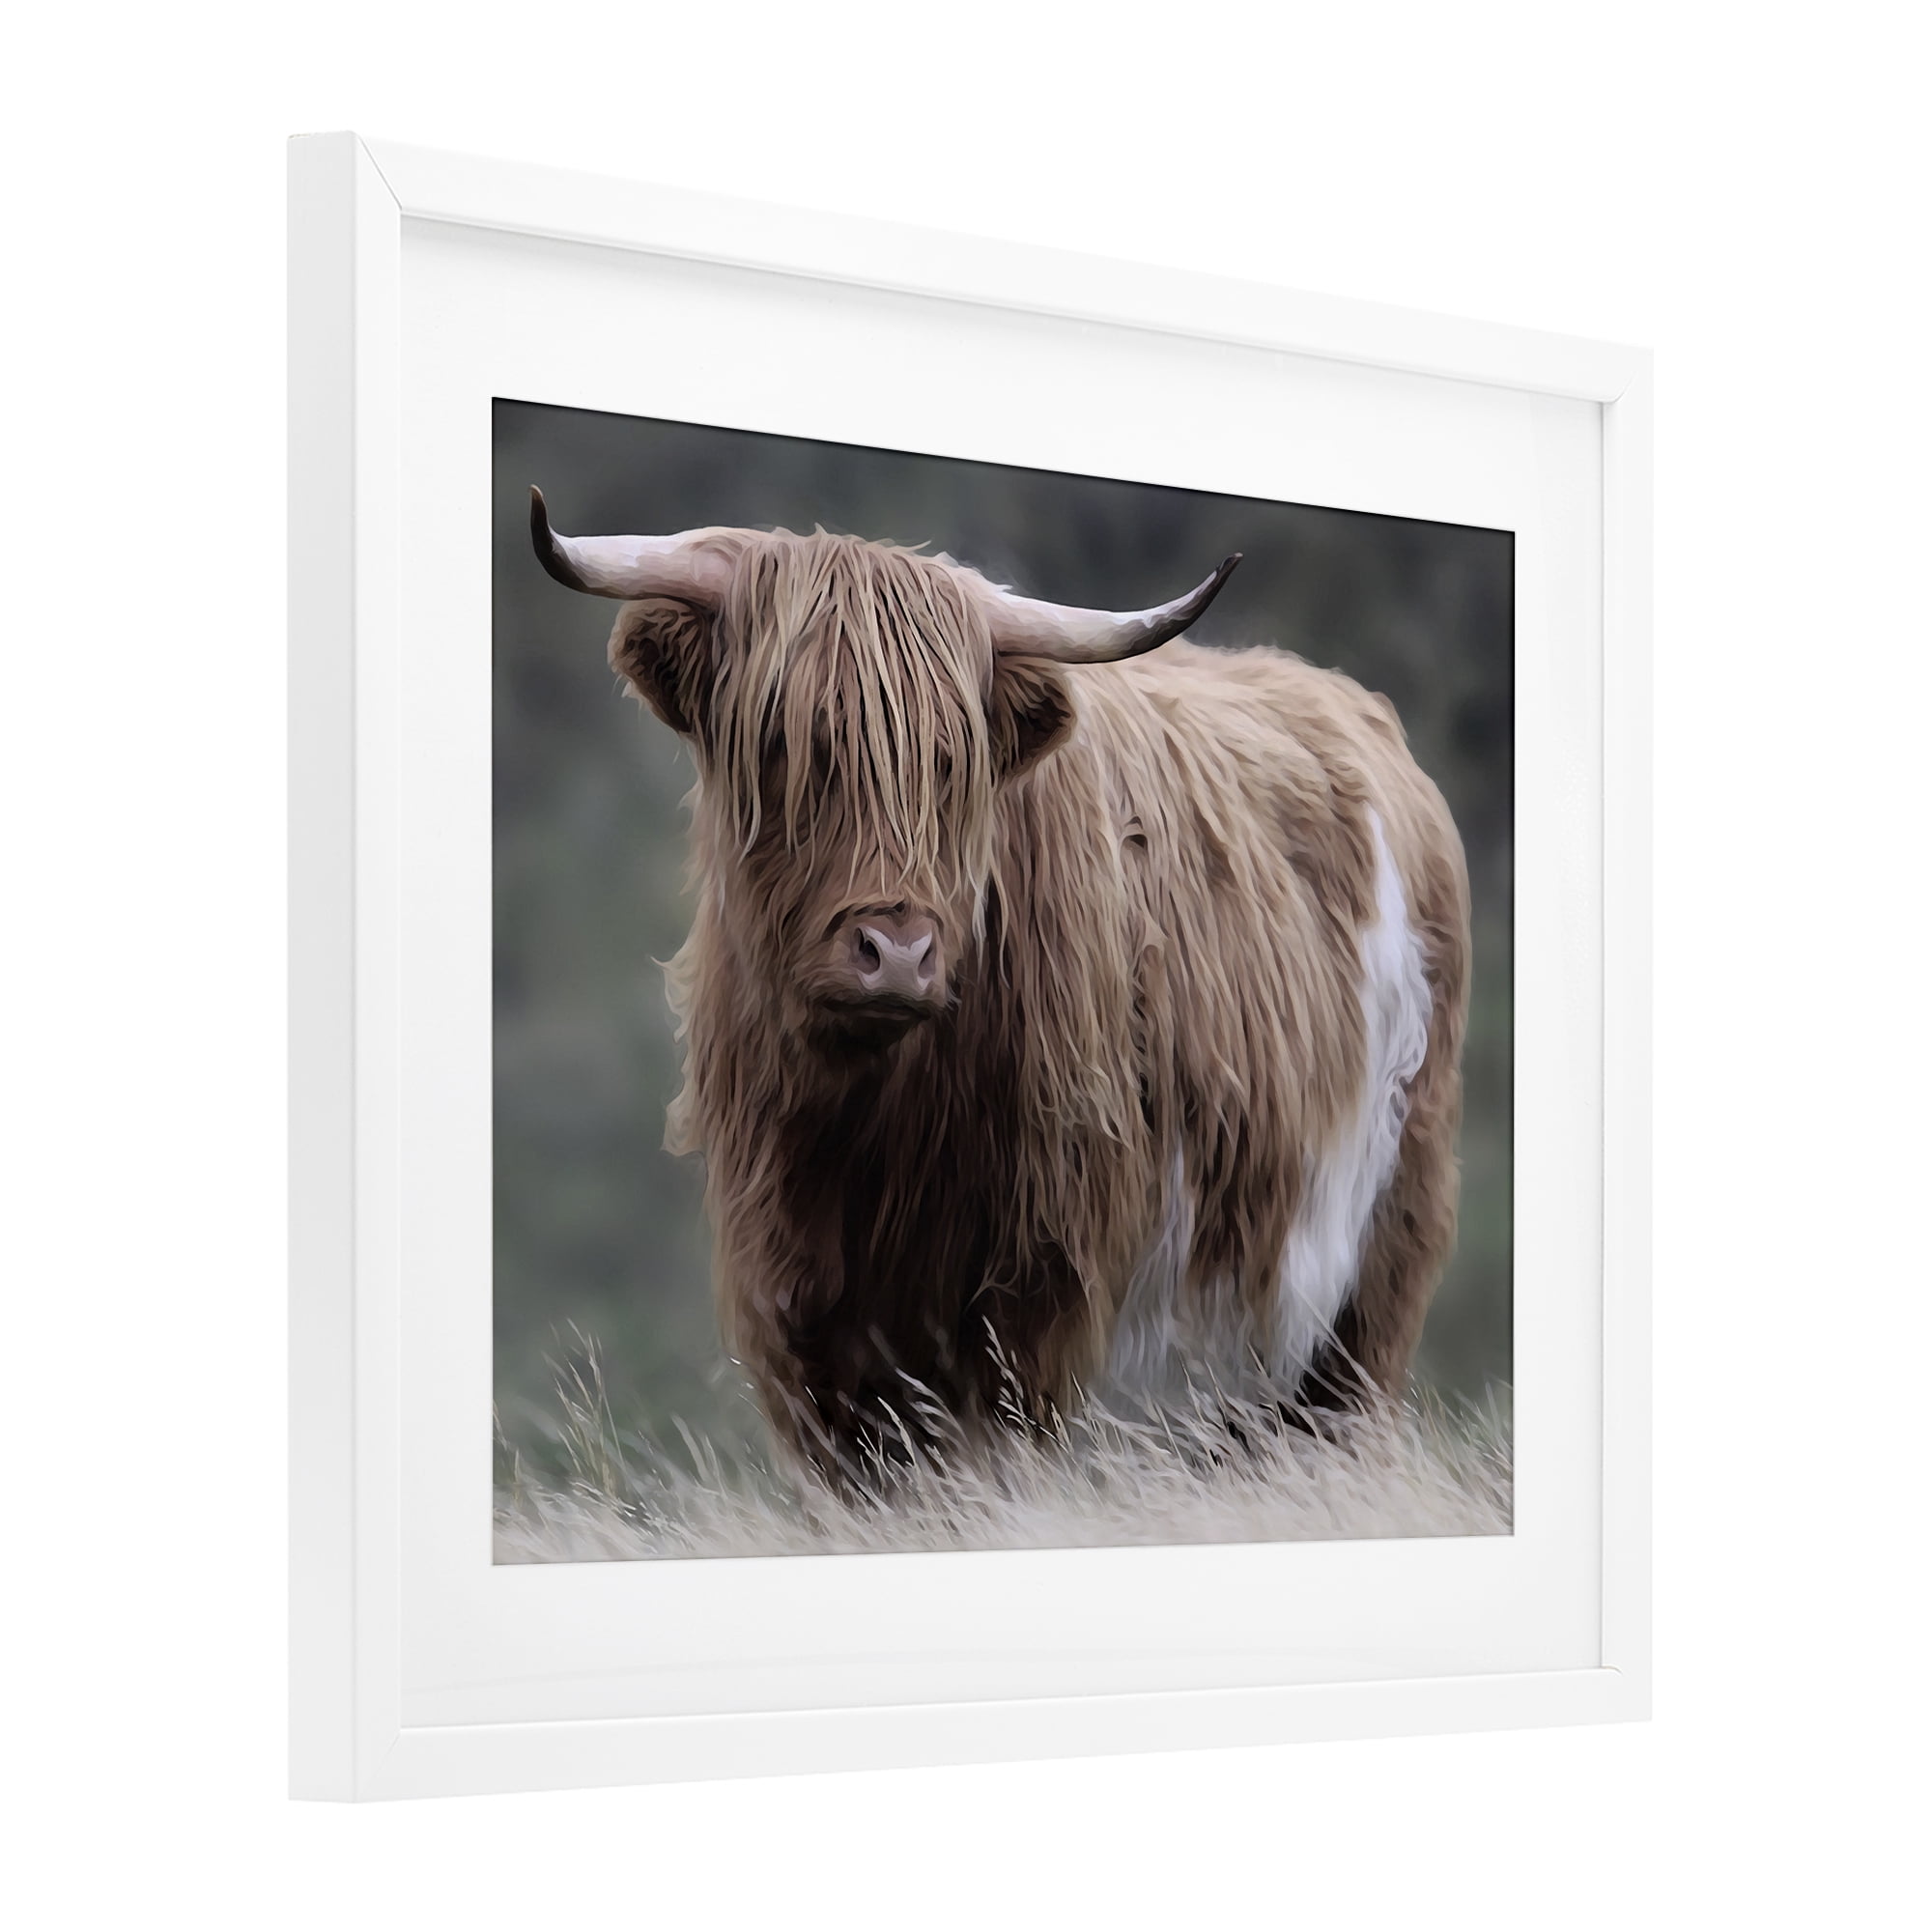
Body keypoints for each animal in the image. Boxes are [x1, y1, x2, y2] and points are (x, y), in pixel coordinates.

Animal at [531, 488, 1471, 1476]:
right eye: (784, 741)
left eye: (954, 761)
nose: (896, 950)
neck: (869, 1131)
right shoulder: (800, 1320)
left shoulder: (1037, 1304)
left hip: (1368, 1283)